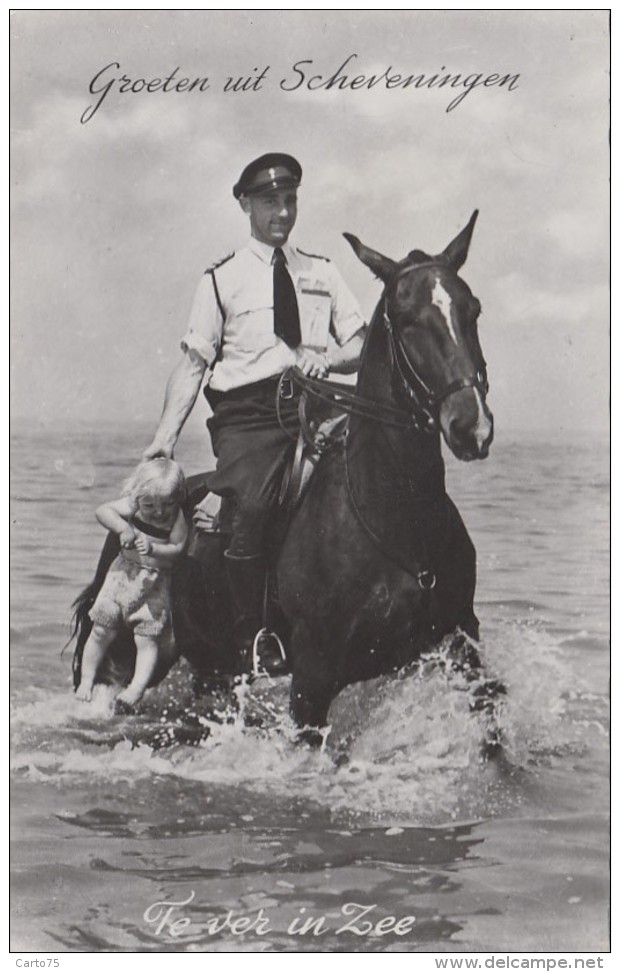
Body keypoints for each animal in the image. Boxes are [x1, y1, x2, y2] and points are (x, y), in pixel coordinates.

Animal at [71, 211, 504, 744]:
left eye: (473, 309)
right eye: (407, 319)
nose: (471, 425)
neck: (392, 517)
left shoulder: (460, 640)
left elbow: (491, 718)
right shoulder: (312, 678)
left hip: (211, 663)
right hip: (125, 649)